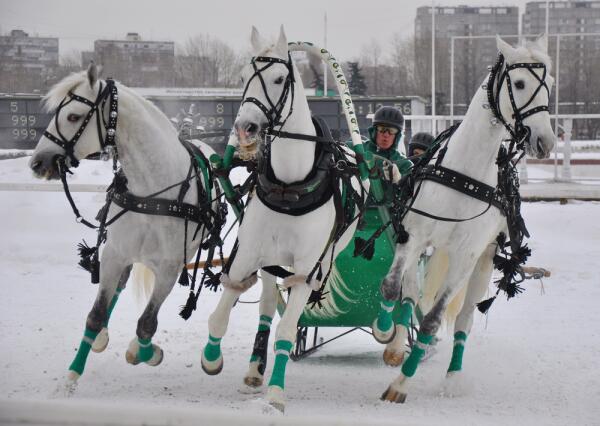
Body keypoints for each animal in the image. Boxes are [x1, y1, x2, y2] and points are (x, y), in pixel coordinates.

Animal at [28, 64, 220, 392]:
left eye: (73, 117)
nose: (38, 162)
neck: (151, 193)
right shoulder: (115, 255)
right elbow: (95, 315)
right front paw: (72, 376)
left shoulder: (169, 269)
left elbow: (146, 325)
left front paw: (147, 353)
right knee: (117, 288)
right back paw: (101, 337)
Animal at [199, 27, 364, 412]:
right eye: (242, 77)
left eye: (277, 78)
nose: (245, 128)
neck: (291, 185)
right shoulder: (247, 254)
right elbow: (220, 314)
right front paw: (212, 359)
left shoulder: (307, 269)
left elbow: (287, 331)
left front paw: (275, 392)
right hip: (269, 261)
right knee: (266, 304)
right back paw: (254, 369)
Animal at [378, 35, 556, 402]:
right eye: (519, 83)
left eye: (551, 85)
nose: (545, 141)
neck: (465, 173)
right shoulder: (413, 236)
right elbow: (391, 287)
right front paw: (386, 332)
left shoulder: (467, 255)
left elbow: (433, 320)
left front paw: (401, 384)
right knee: (410, 293)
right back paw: (398, 341)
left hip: (483, 261)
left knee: (463, 320)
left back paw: (452, 377)